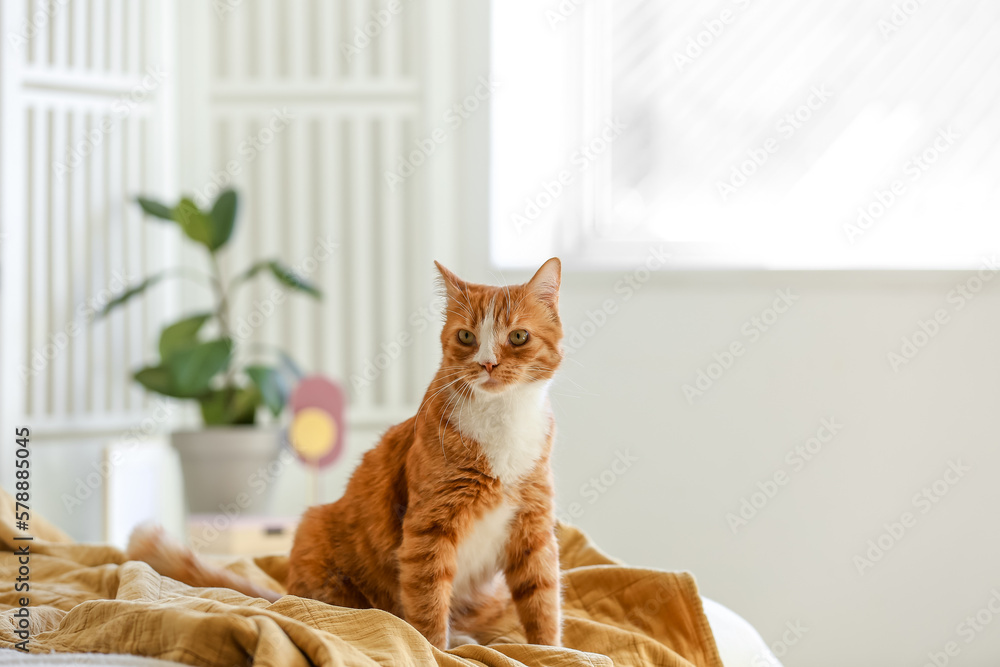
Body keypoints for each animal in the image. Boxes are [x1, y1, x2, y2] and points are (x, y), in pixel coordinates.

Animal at [128, 258, 564, 648]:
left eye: (519, 337)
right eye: (467, 338)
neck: (502, 418)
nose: (488, 364)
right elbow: (427, 604)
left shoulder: (534, 527)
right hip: (317, 536)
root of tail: (284, 591)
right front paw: (436, 650)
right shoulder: (429, 529)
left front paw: (550, 650)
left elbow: (542, 598)